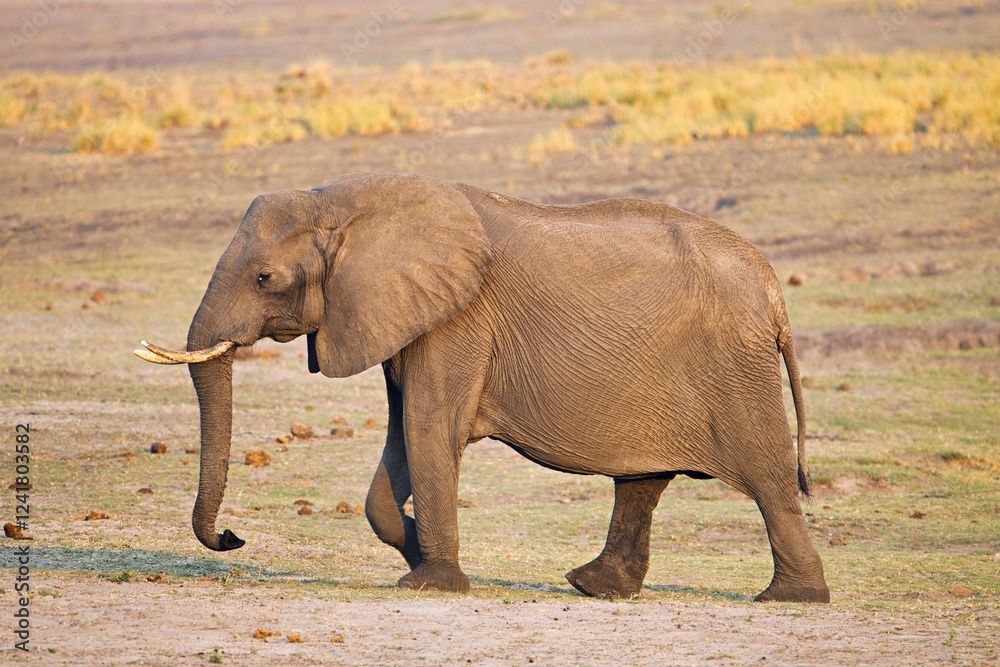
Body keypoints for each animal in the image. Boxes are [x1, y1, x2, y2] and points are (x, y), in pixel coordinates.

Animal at [136, 171, 830, 603]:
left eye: (263, 277)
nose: (232, 538)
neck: (342, 203)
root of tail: (773, 290)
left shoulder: (457, 320)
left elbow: (429, 430)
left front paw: (429, 582)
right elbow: (402, 436)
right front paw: (414, 547)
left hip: (734, 370)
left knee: (767, 478)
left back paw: (791, 597)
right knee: (642, 481)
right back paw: (594, 586)